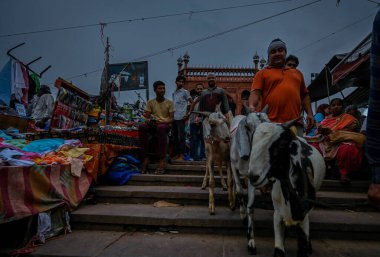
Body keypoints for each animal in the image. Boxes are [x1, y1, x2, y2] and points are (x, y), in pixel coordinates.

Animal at [229, 108, 270, 254]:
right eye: (248, 126)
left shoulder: (252, 174)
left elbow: (251, 206)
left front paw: (251, 241)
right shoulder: (233, 167)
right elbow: (240, 192)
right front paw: (243, 216)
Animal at [248, 120, 326, 256]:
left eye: (281, 144)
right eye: (253, 141)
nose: (253, 176)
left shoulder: (303, 216)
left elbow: (303, 247)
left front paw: (307, 246)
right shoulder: (278, 215)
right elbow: (279, 250)